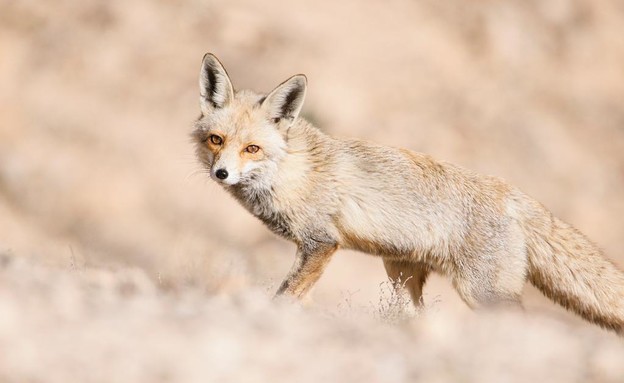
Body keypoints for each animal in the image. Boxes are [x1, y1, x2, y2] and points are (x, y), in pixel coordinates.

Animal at [191, 52, 624, 334]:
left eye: (252, 149)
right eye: (217, 140)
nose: (221, 173)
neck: (290, 170)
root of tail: (511, 191)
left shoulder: (321, 242)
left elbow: (285, 296)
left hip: (483, 293)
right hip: (402, 275)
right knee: (416, 317)